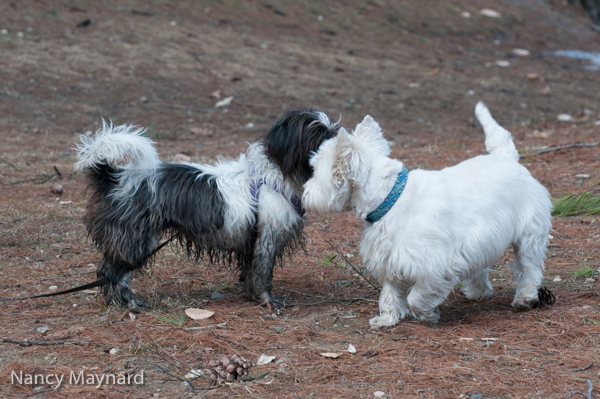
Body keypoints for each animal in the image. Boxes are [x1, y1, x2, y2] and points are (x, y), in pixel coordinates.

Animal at [75, 110, 338, 312]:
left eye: (333, 133)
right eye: (317, 136)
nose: (337, 148)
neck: (274, 176)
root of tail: (115, 176)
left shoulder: (252, 243)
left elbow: (251, 272)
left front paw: (250, 295)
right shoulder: (266, 240)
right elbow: (263, 274)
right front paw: (266, 300)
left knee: (107, 270)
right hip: (136, 241)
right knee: (114, 273)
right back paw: (128, 302)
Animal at [304, 104, 552, 328]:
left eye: (315, 171)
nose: (304, 193)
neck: (389, 197)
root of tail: (509, 159)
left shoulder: (435, 265)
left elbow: (416, 296)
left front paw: (426, 316)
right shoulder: (389, 258)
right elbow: (389, 292)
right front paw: (387, 319)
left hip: (529, 236)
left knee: (529, 268)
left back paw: (525, 299)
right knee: (481, 268)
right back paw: (478, 292)